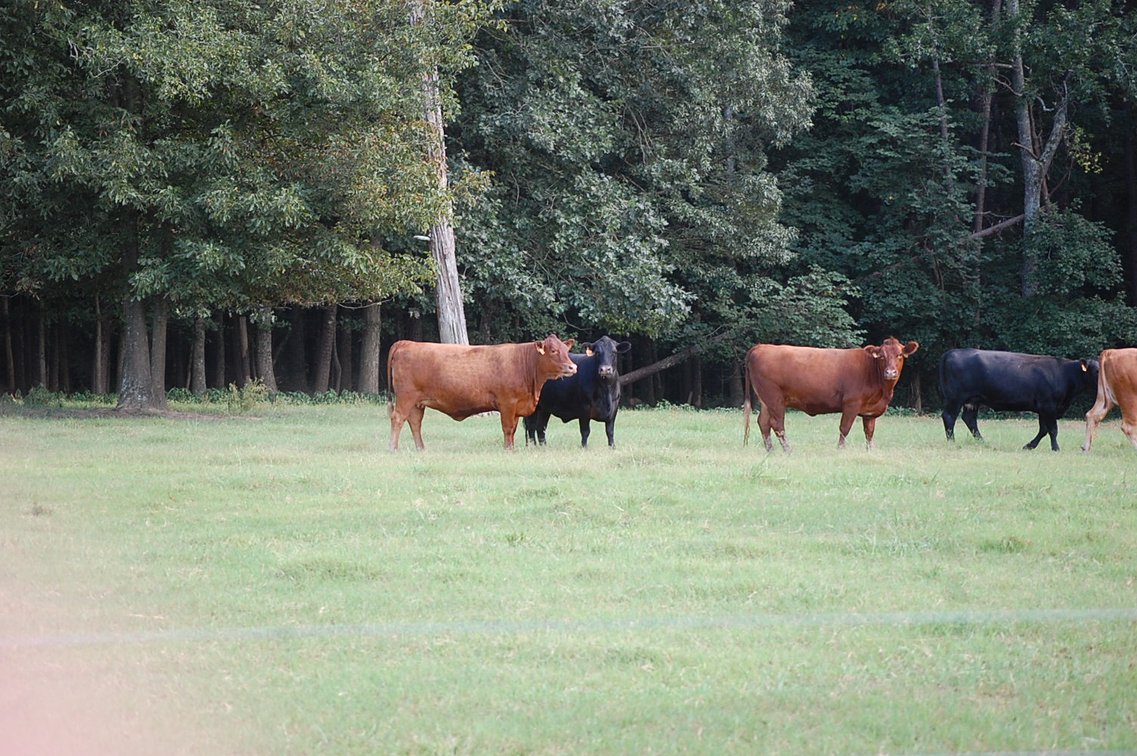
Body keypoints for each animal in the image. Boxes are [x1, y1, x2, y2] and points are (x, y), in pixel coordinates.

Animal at [387, 335, 577, 451]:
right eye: (553, 350)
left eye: (566, 351)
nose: (573, 367)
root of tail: (407, 343)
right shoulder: (507, 403)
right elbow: (508, 428)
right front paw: (508, 450)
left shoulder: (516, 407)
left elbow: (514, 429)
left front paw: (512, 448)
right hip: (406, 397)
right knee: (398, 418)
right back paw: (393, 448)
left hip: (417, 402)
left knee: (415, 422)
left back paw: (421, 449)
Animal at [742, 337, 919, 452]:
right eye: (882, 356)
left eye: (899, 355)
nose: (890, 372)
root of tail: (762, 347)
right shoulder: (851, 403)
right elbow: (844, 428)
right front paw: (840, 450)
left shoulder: (870, 412)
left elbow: (869, 433)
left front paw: (870, 451)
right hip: (774, 397)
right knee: (777, 424)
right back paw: (788, 449)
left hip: (766, 400)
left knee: (763, 422)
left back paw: (770, 449)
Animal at [940, 348, 1099, 452]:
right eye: (1096, 370)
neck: (1065, 374)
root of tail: (951, 352)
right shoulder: (1048, 405)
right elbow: (1052, 429)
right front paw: (1056, 448)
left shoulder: (1043, 409)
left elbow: (1043, 430)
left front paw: (1029, 446)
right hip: (956, 397)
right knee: (949, 416)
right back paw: (952, 442)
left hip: (973, 400)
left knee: (969, 419)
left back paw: (982, 442)